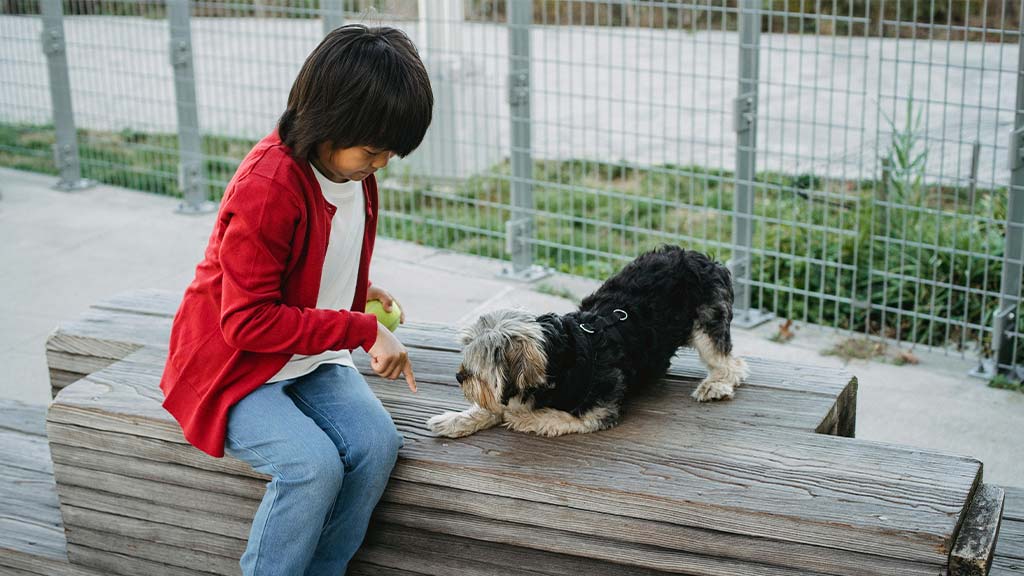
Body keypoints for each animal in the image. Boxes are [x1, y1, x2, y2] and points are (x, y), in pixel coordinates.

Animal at [425, 241, 753, 434]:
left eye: (481, 364)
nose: (459, 376)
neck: (558, 358)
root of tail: (704, 258)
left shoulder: (599, 409)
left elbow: (558, 417)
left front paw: (524, 419)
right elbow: (494, 406)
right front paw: (454, 420)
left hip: (707, 323)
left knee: (731, 364)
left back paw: (715, 385)